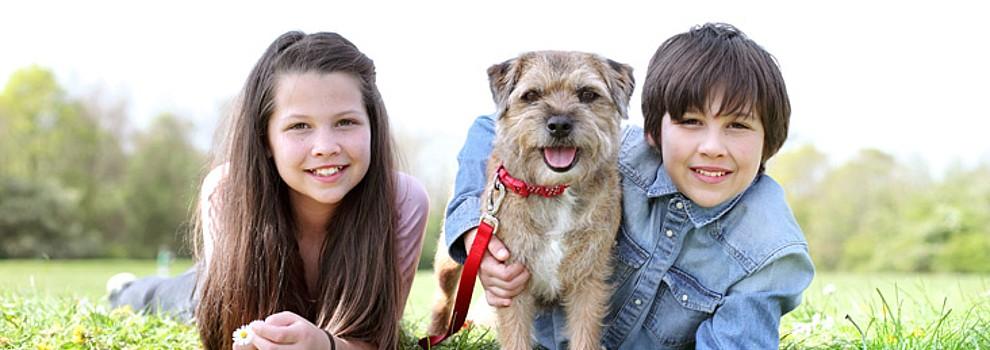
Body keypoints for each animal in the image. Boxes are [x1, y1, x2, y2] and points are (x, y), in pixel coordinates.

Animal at [432, 52, 636, 350]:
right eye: (531, 95)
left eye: (587, 94)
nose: (559, 125)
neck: (553, 190)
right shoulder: (510, 281)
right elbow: (516, 337)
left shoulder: (588, 282)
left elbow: (584, 335)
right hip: (448, 264)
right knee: (444, 296)